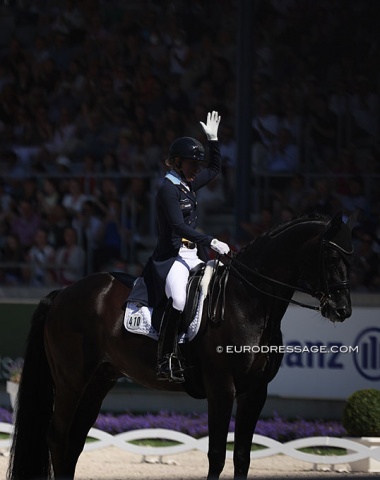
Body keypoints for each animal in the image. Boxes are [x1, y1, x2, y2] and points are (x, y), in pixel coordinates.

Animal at [8, 215, 354, 480]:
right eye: (331, 257)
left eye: (351, 258)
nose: (342, 311)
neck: (248, 303)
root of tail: (63, 293)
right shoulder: (221, 388)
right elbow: (217, 453)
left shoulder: (255, 391)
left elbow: (242, 455)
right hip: (71, 379)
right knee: (58, 435)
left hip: (98, 381)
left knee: (75, 439)